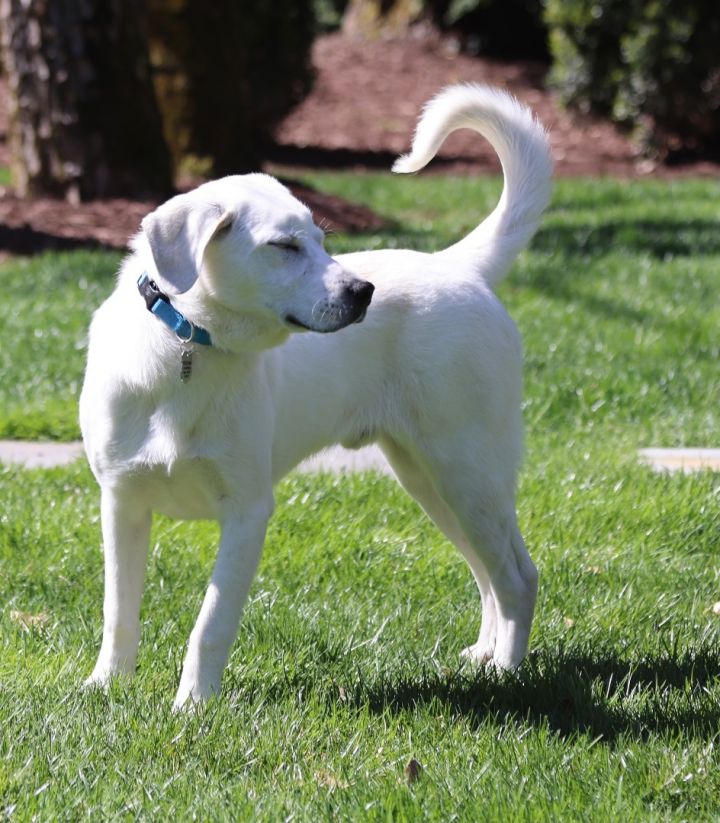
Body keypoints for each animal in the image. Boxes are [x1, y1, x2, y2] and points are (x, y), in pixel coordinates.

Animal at [80, 87, 552, 712]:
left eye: (325, 243)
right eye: (285, 246)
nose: (363, 293)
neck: (188, 348)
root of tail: (459, 266)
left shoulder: (248, 509)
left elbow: (211, 622)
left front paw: (194, 707)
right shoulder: (122, 500)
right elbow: (118, 611)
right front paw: (106, 686)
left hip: (468, 470)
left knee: (518, 575)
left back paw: (506, 672)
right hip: (431, 479)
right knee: (489, 572)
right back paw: (483, 655)